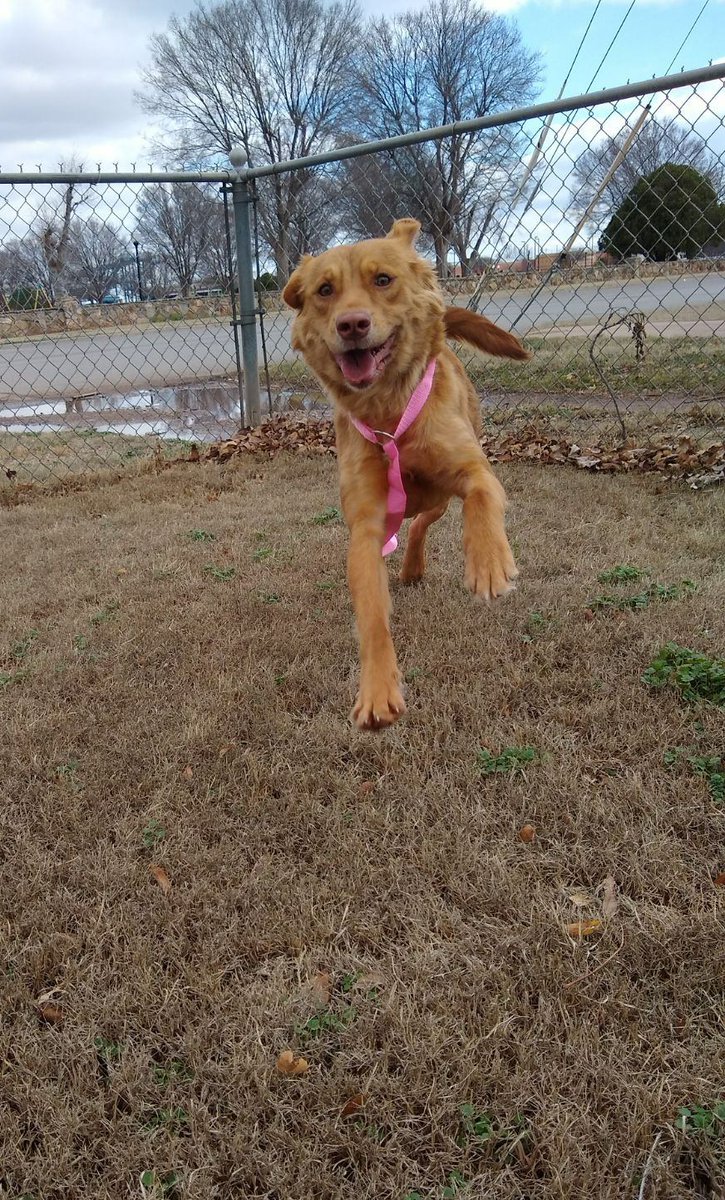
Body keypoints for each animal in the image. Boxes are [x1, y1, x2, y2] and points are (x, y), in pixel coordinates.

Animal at [285, 222, 530, 734]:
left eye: (383, 279)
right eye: (324, 291)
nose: (351, 325)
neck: (389, 414)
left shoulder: (474, 470)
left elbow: (482, 500)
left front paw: (489, 565)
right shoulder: (366, 528)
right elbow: (372, 616)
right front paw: (377, 691)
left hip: (439, 496)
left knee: (423, 522)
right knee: (414, 525)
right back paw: (411, 569)